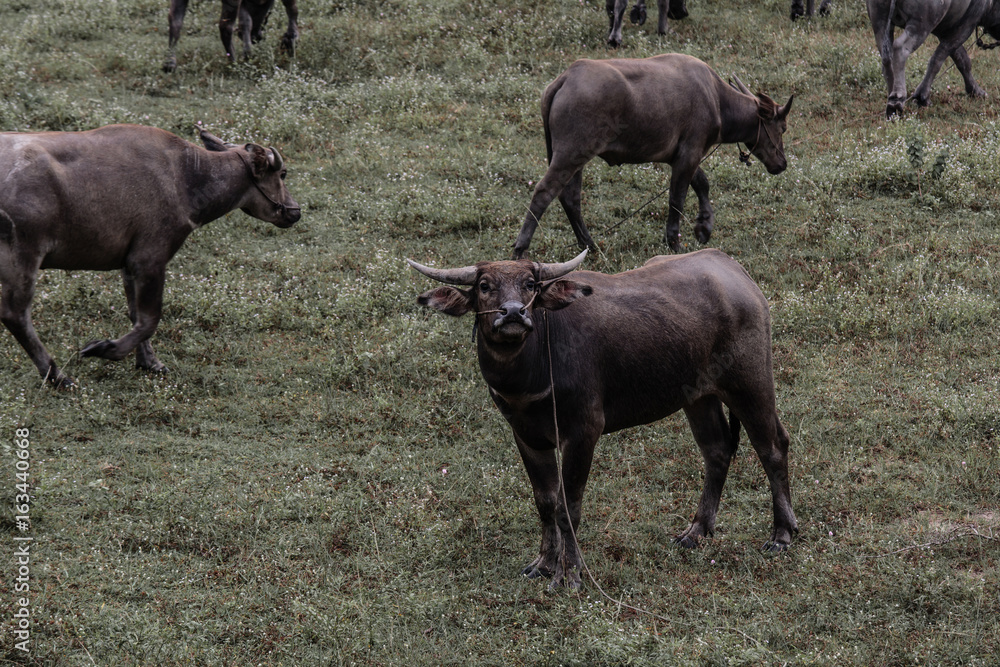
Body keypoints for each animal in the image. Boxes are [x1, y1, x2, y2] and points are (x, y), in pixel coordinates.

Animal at [0, 124, 301, 387]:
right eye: (283, 174)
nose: (295, 211)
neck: (187, 176)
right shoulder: (150, 258)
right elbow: (149, 319)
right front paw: (104, 349)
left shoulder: (128, 264)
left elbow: (136, 313)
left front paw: (149, 362)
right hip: (24, 256)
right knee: (15, 314)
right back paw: (58, 377)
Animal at [164, 0, 299, 73]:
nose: (256, 36)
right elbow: (292, 9)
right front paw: (290, 40)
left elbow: (245, 21)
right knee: (225, 26)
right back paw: (234, 64)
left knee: (175, 20)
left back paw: (170, 63)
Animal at [410, 249, 797, 589]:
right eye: (484, 285)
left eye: (530, 284)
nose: (514, 313)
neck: (533, 370)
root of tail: (737, 274)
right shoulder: (526, 436)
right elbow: (545, 502)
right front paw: (543, 564)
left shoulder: (583, 433)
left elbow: (568, 507)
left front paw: (568, 575)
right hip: (699, 396)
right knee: (716, 449)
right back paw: (697, 531)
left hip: (750, 381)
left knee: (772, 446)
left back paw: (781, 533)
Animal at [513, 54, 793, 259]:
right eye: (783, 127)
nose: (782, 163)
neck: (716, 97)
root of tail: (566, 78)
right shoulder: (689, 154)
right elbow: (677, 198)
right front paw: (674, 241)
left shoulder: (682, 156)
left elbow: (702, 183)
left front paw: (704, 226)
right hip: (571, 153)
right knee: (544, 192)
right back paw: (520, 249)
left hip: (573, 157)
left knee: (570, 198)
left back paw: (590, 246)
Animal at [867, 0, 1000, 117]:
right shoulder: (965, 26)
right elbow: (937, 60)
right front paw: (922, 97)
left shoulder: (945, 30)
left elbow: (961, 59)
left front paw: (976, 91)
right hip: (920, 25)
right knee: (900, 48)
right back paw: (897, 98)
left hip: (879, 20)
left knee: (886, 57)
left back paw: (892, 95)